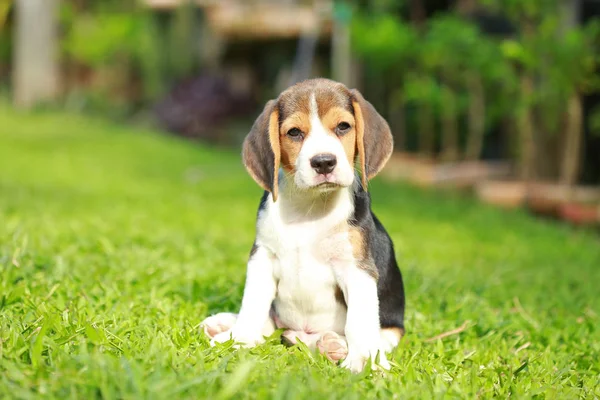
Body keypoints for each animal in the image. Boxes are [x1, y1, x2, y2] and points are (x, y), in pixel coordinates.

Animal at [199, 77, 406, 372]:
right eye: (295, 132)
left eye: (343, 127)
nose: (323, 162)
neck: (310, 208)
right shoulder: (262, 257)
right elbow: (253, 304)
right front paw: (238, 339)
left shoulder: (357, 269)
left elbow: (359, 322)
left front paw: (364, 360)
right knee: (273, 323)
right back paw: (224, 323)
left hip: (392, 326)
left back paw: (334, 345)